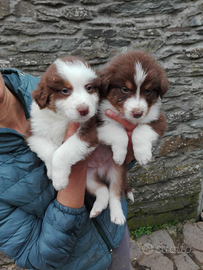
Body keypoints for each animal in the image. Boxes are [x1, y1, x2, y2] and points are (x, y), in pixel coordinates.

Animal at [26, 55, 100, 190]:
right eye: (65, 91)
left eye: (89, 88)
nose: (84, 110)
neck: (62, 117)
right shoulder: (32, 131)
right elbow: (49, 150)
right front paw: (53, 173)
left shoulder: (90, 132)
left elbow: (62, 152)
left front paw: (59, 180)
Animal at [87, 50, 168, 224]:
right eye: (124, 89)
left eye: (148, 91)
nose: (137, 113)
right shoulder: (97, 123)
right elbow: (120, 133)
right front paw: (119, 154)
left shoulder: (158, 120)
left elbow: (141, 130)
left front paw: (142, 155)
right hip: (86, 179)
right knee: (103, 190)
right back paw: (98, 209)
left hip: (117, 174)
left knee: (114, 193)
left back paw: (117, 216)